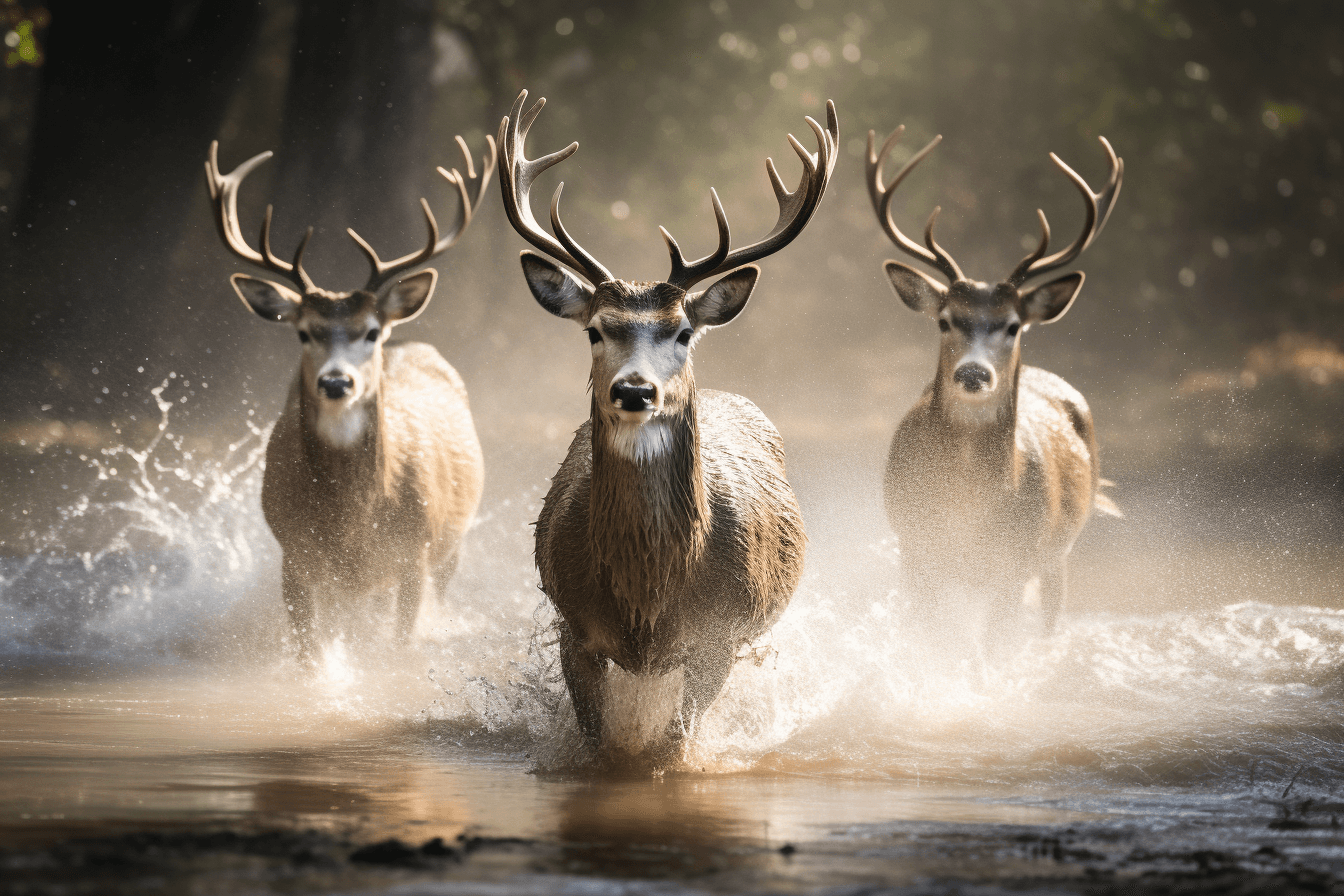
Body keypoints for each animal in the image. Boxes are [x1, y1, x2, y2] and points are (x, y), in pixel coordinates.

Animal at [204, 134, 495, 665]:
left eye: (371, 331)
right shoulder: (295, 556)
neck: (353, 525)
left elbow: (398, 645)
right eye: (303, 332)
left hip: (452, 546)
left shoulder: (414, 554)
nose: (336, 382)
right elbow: (309, 655)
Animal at [498, 90, 836, 758]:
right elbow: (600, 744)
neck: (649, 599)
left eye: (681, 331)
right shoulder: (574, 628)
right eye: (596, 328)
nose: (635, 390)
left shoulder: (719, 637)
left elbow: (673, 748)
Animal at [866, 125, 1123, 636]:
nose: (972, 372)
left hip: (1058, 553)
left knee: (1047, 620)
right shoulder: (914, 548)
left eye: (1013, 325)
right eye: (945, 319)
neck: (966, 513)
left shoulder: (1018, 562)